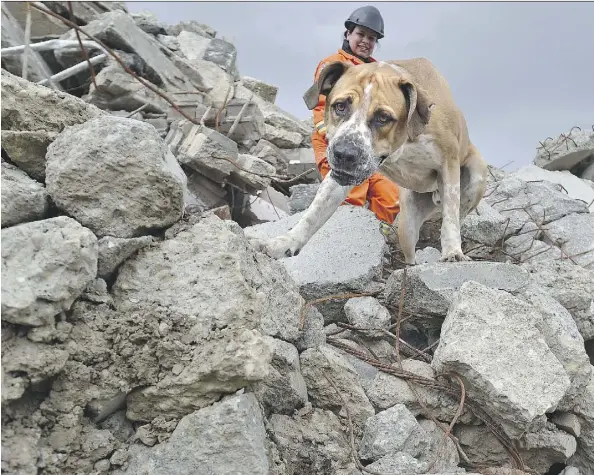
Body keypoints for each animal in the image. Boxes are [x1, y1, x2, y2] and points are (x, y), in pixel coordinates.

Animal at [250, 58, 486, 266]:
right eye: (340, 106)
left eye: (383, 117)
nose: (345, 153)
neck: (402, 142)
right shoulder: (339, 179)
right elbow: (313, 213)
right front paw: (284, 243)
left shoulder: (449, 162)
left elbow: (450, 216)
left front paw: (453, 251)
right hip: (407, 226)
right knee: (410, 252)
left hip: (475, 178)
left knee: (457, 211)